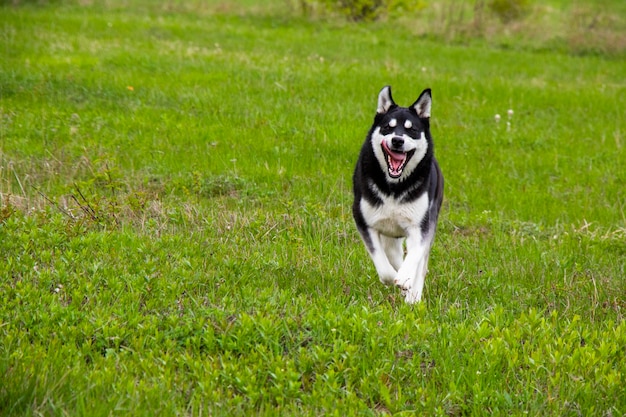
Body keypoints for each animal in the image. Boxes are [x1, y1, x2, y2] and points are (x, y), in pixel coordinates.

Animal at [352, 86, 444, 304]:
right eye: (388, 127)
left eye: (412, 130)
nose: (397, 140)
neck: (394, 187)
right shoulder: (364, 221)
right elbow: (383, 265)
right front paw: (395, 278)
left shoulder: (421, 226)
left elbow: (415, 257)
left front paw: (406, 281)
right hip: (390, 233)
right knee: (394, 254)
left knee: (420, 263)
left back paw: (413, 295)